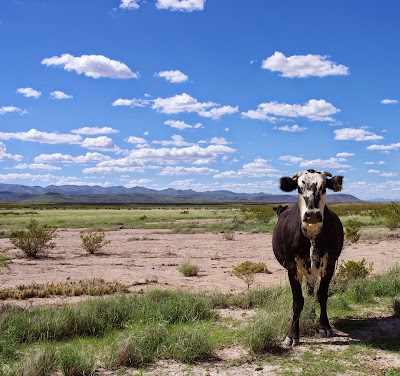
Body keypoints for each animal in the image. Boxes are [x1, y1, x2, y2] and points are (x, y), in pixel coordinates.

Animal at [272, 170, 344, 346]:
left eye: (324, 186)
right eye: (299, 187)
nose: (312, 215)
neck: (311, 234)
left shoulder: (329, 265)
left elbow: (322, 295)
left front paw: (325, 327)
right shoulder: (292, 268)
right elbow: (298, 300)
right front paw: (292, 335)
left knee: (311, 291)